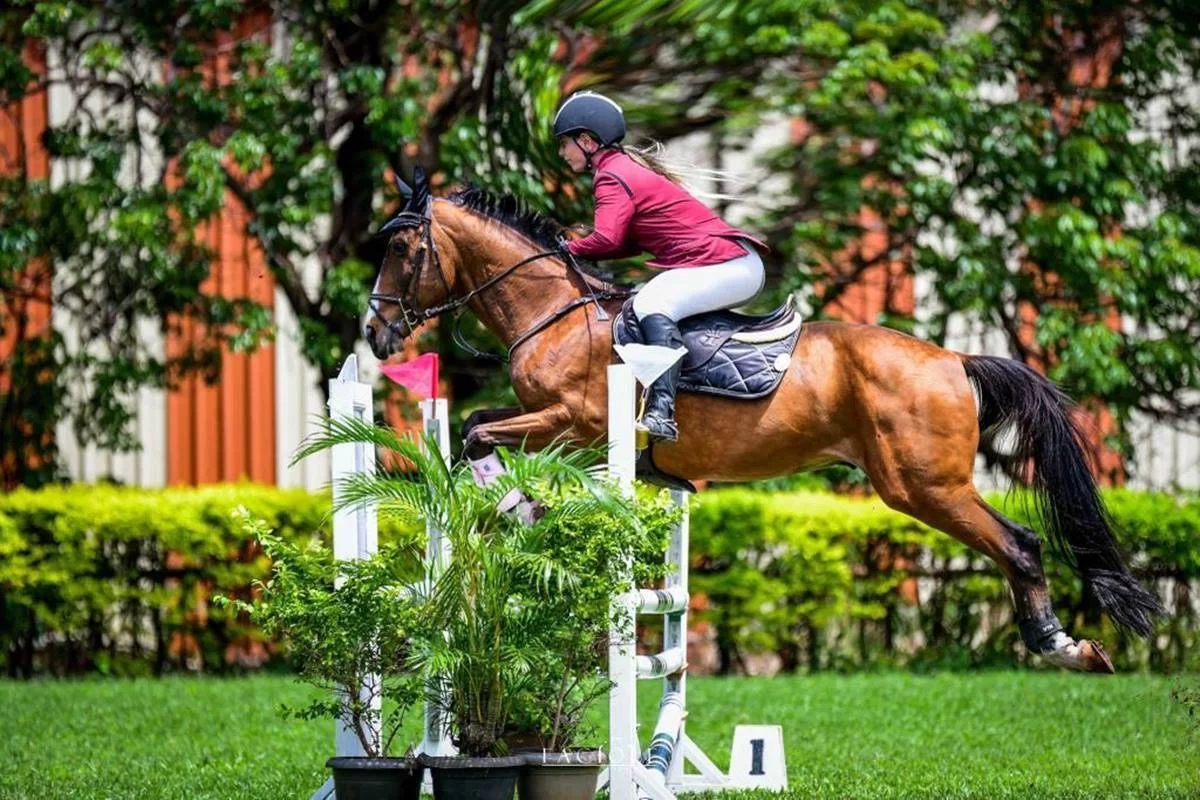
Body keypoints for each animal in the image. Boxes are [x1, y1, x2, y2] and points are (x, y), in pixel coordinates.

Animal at [362, 170, 1161, 676]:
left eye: (401, 249)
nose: (375, 333)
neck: (554, 311)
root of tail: (953, 360)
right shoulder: (546, 419)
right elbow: (477, 423)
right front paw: (520, 507)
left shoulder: (575, 422)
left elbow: (477, 433)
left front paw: (520, 508)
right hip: (919, 485)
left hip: (922, 486)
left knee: (1020, 544)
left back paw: (1062, 647)